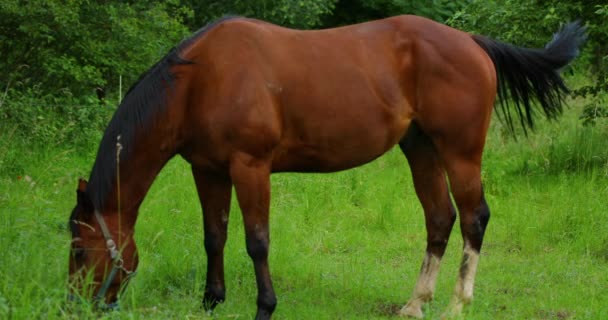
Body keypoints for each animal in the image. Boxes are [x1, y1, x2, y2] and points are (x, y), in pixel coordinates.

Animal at [69, 14, 588, 318]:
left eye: (78, 249)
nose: (75, 305)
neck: (200, 79)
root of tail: (471, 41)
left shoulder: (250, 167)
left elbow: (256, 242)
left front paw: (264, 307)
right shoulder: (208, 169)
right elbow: (213, 235)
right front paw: (211, 301)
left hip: (459, 152)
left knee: (474, 218)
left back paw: (456, 306)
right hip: (420, 149)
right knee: (440, 218)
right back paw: (414, 303)